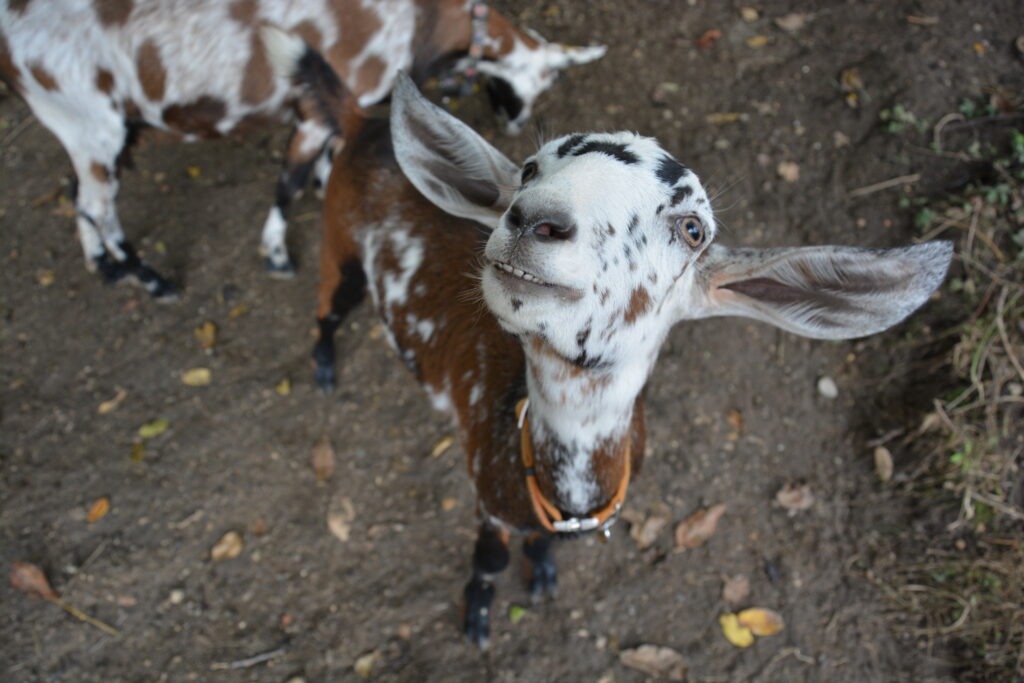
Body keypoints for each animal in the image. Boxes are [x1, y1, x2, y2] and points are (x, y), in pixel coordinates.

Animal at [0, 0, 604, 297]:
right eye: (548, 78)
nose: (515, 120)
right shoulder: (329, 97)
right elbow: (287, 181)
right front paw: (276, 253)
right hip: (90, 122)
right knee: (97, 203)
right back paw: (151, 279)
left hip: (93, 128)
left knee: (83, 196)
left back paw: (105, 266)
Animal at [281, 35, 953, 644]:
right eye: (529, 169)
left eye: (692, 229)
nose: (535, 218)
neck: (565, 492)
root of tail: (364, 124)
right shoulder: (485, 494)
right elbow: (489, 560)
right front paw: (477, 618)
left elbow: (540, 550)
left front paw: (543, 576)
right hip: (339, 244)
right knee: (328, 308)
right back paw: (323, 366)